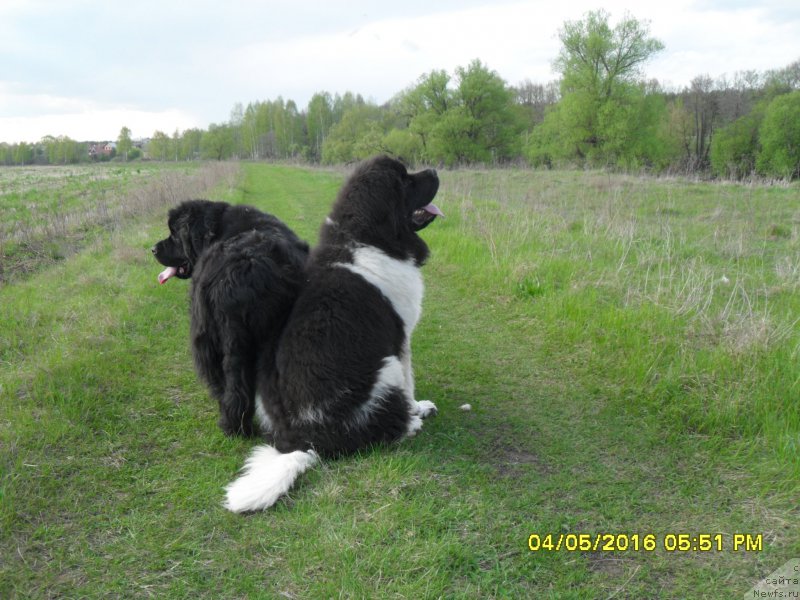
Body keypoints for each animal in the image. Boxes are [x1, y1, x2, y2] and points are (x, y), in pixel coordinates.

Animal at [150, 198, 310, 436]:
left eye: (175, 235)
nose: (153, 249)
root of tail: (251, 266)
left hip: (221, 337)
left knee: (230, 382)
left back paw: (232, 424)